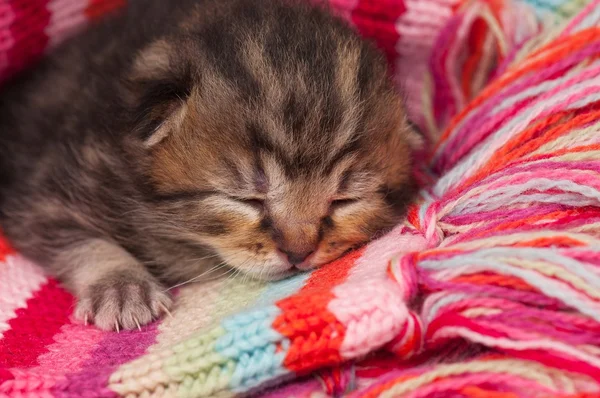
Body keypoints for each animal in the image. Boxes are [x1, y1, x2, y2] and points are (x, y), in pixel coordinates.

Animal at [0, 0, 422, 330]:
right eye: (246, 199)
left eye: (344, 200)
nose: (298, 254)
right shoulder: (42, 194)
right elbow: (82, 242)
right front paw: (122, 286)